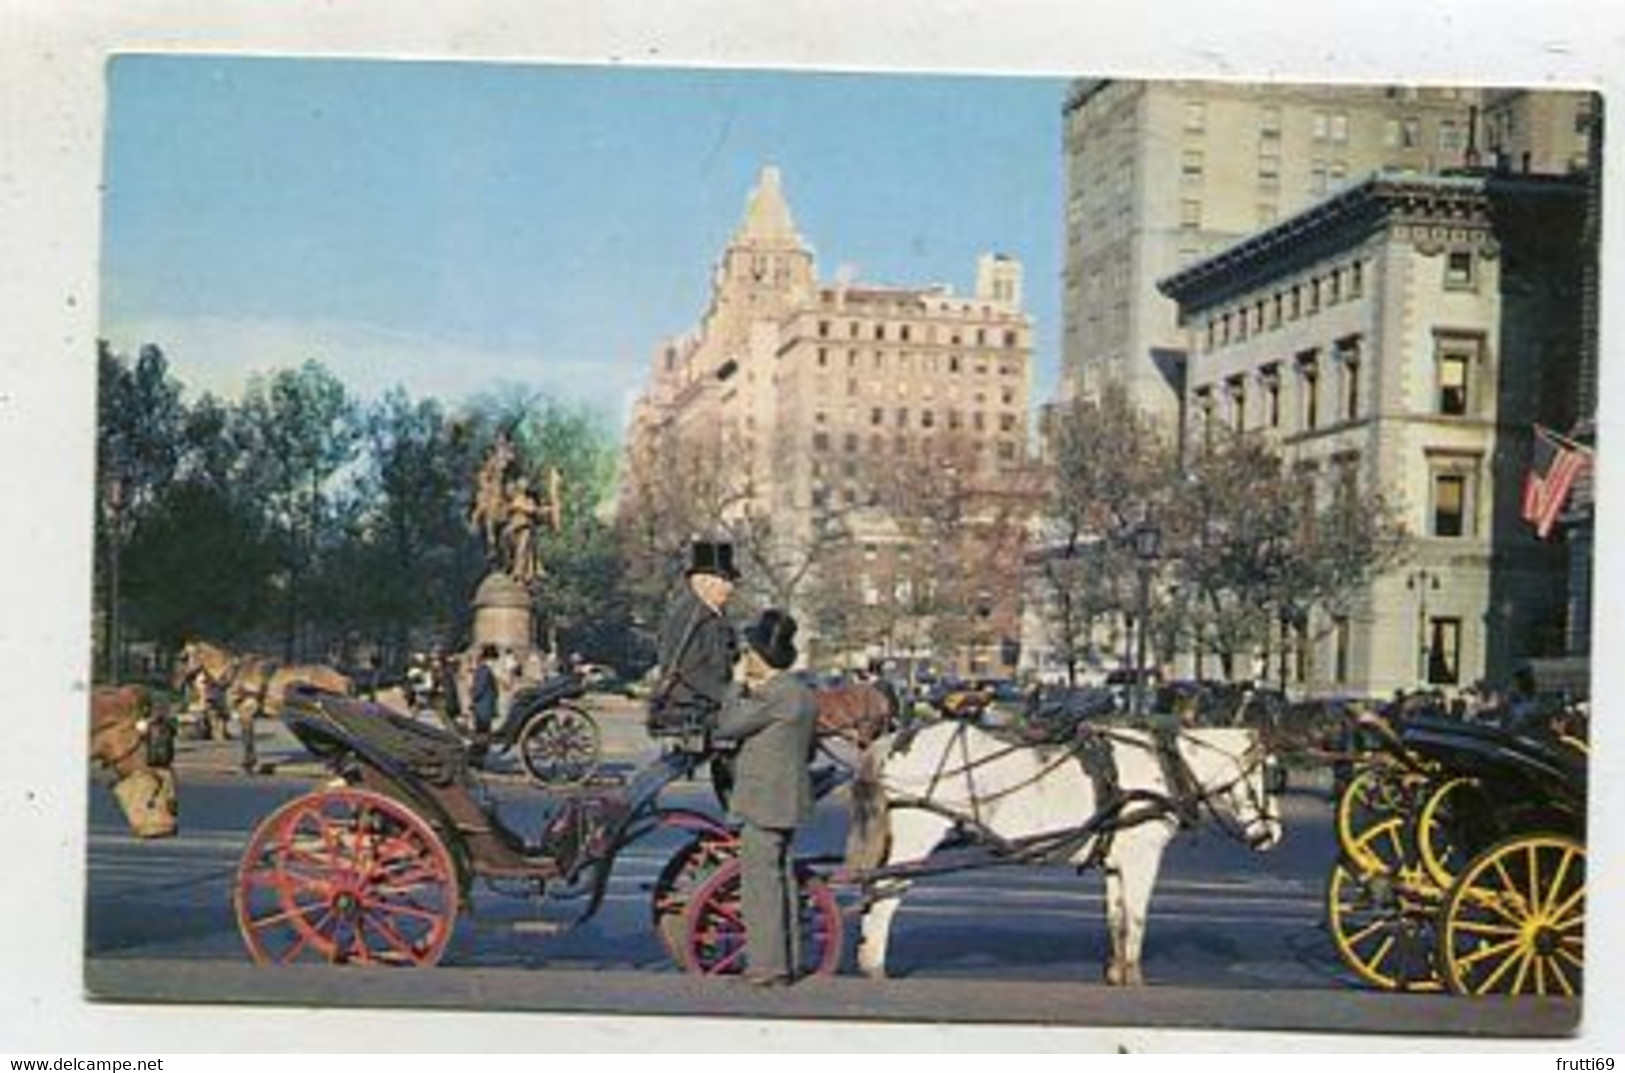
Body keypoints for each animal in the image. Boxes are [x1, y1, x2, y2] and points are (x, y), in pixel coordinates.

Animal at [176, 640, 354, 773]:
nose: (176, 682)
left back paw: (335, 763)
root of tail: (343, 678)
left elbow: (248, 739)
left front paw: (247, 765)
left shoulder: (245, 712)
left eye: (183, 658)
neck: (233, 673)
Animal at [851, 721, 1280, 981]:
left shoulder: (1116, 863)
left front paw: (1116, 973)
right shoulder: (1142, 858)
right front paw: (1135, 976)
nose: (1273, 835)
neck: (1164, 767)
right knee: (885, 895)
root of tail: (896, 740)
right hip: (916, 838)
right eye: (1269, 776)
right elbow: (1137, 917)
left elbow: (1116, 918)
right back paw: (874, 966)